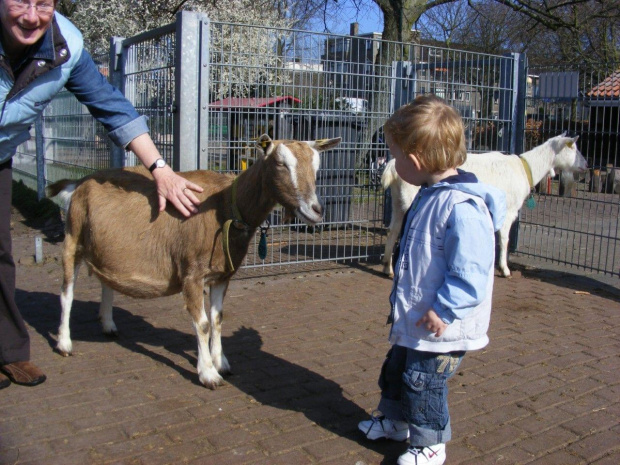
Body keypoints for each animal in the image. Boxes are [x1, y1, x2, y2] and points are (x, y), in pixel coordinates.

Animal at [46, 134, 342, 388]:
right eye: (280, 163)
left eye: (317, 166)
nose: (316, 211)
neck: (226, 207)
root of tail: (79, 183)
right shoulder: (191, 274)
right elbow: (202, 323)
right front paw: (208, 373)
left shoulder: (222, 275)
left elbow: (217, 319)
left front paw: (221, 362)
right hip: (72, 238)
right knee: (66, 293)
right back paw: (64, 343)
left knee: (106, 281)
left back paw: (108, 325)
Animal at [380, 131, 588, 276]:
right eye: (573, 147)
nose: (586, 165)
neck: (525, 168)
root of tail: (393, 167)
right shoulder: (508, 210)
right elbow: (504, 239)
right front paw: (504, 269)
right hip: (412, 198)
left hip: (398, 200)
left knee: (393, 230)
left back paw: (387, 268)